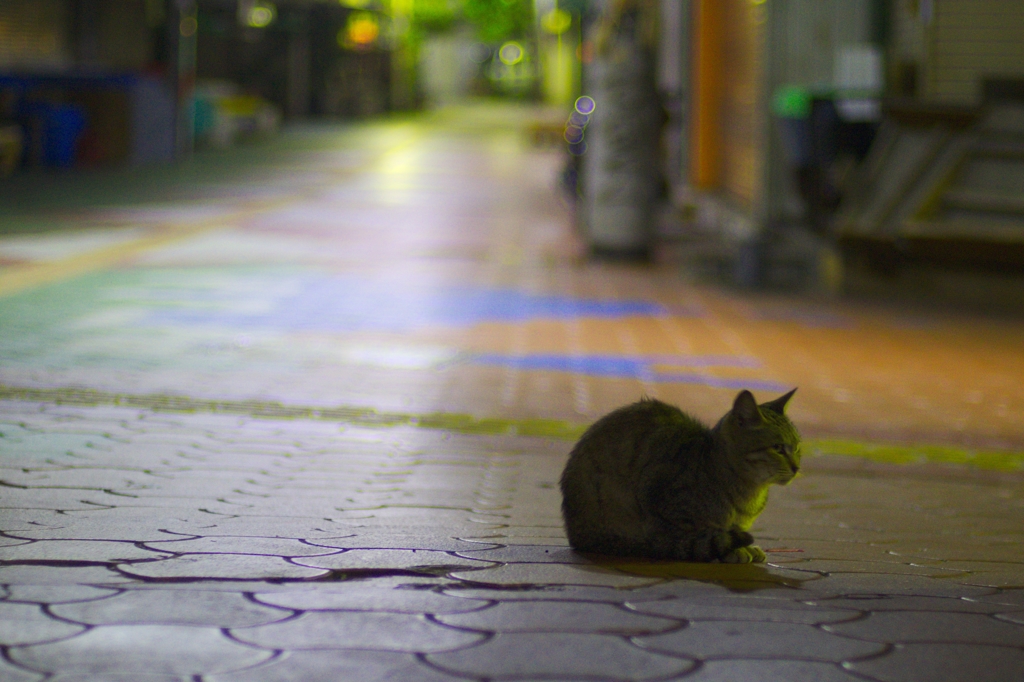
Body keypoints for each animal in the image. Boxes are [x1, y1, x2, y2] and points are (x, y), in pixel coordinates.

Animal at [561, 387, 798, 561]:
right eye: (778, 448)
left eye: (796, 447)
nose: (796, 467)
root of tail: (575, 533)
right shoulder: (658, 501)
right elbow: (691, 538)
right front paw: (732, 551)